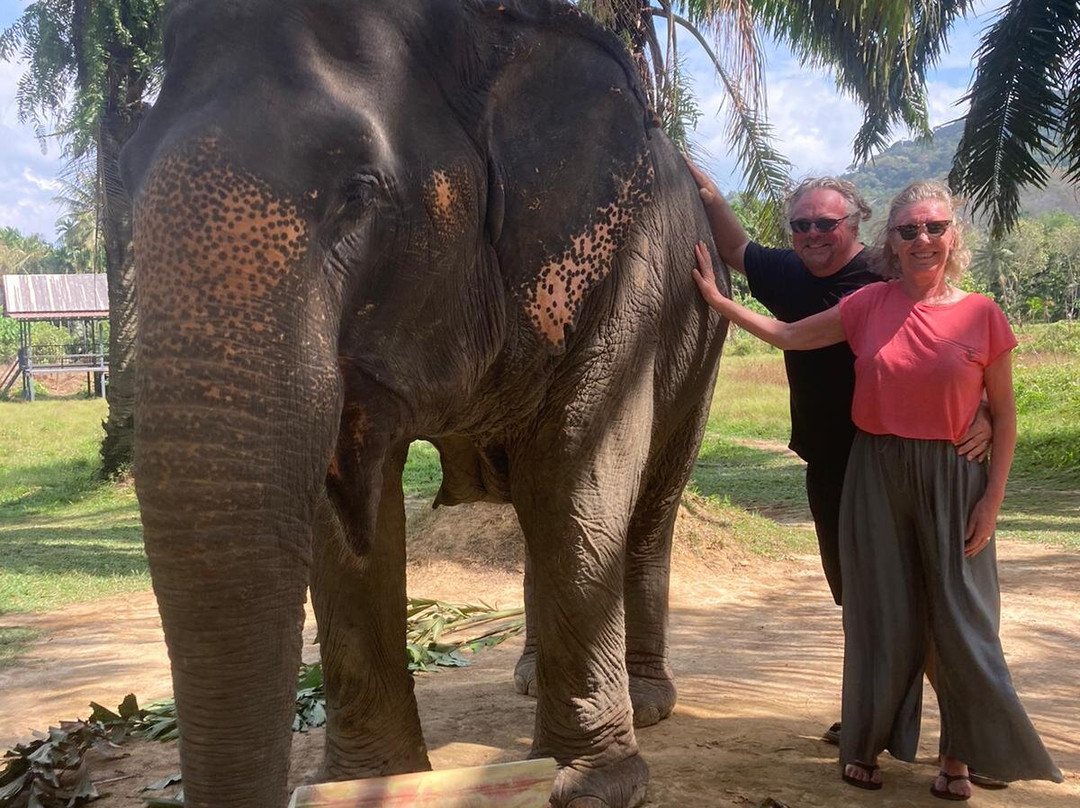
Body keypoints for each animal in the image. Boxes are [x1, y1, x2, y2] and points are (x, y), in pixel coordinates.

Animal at [120, 0, 729, 806]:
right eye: (125, 174)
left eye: (359, 196)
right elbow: (345, 512)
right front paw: (367, 783)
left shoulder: (619, 273)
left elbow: (577, 468)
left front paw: (589, 785)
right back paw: (528, 678)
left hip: (702, 340)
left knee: (648, 500)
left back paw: (649, 702)